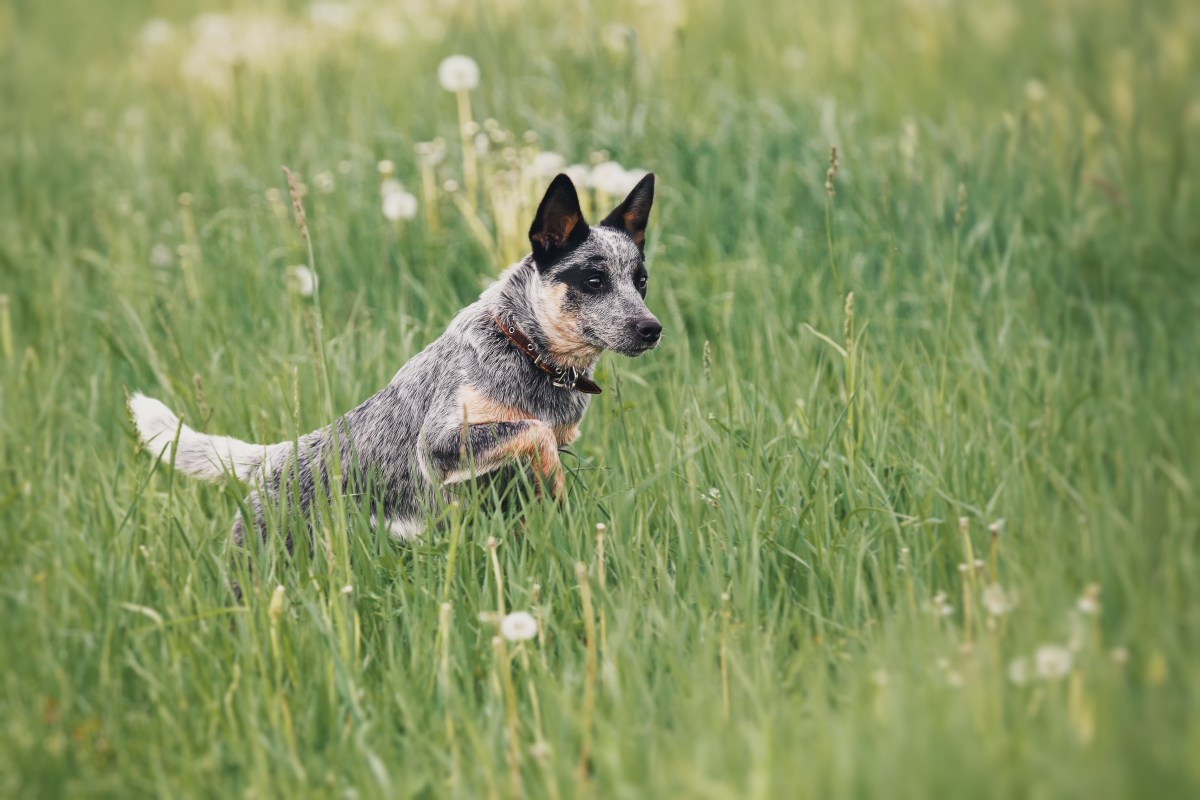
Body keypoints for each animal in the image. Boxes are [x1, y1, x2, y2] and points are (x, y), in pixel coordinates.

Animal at [131, 172, 662, 546]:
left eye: (640, 281)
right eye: (593, 280)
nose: (651, 329)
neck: (524, 350)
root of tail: (272, 459)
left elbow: (537, 441)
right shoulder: (440, 444)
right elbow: (534, 433)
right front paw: (554, 484)